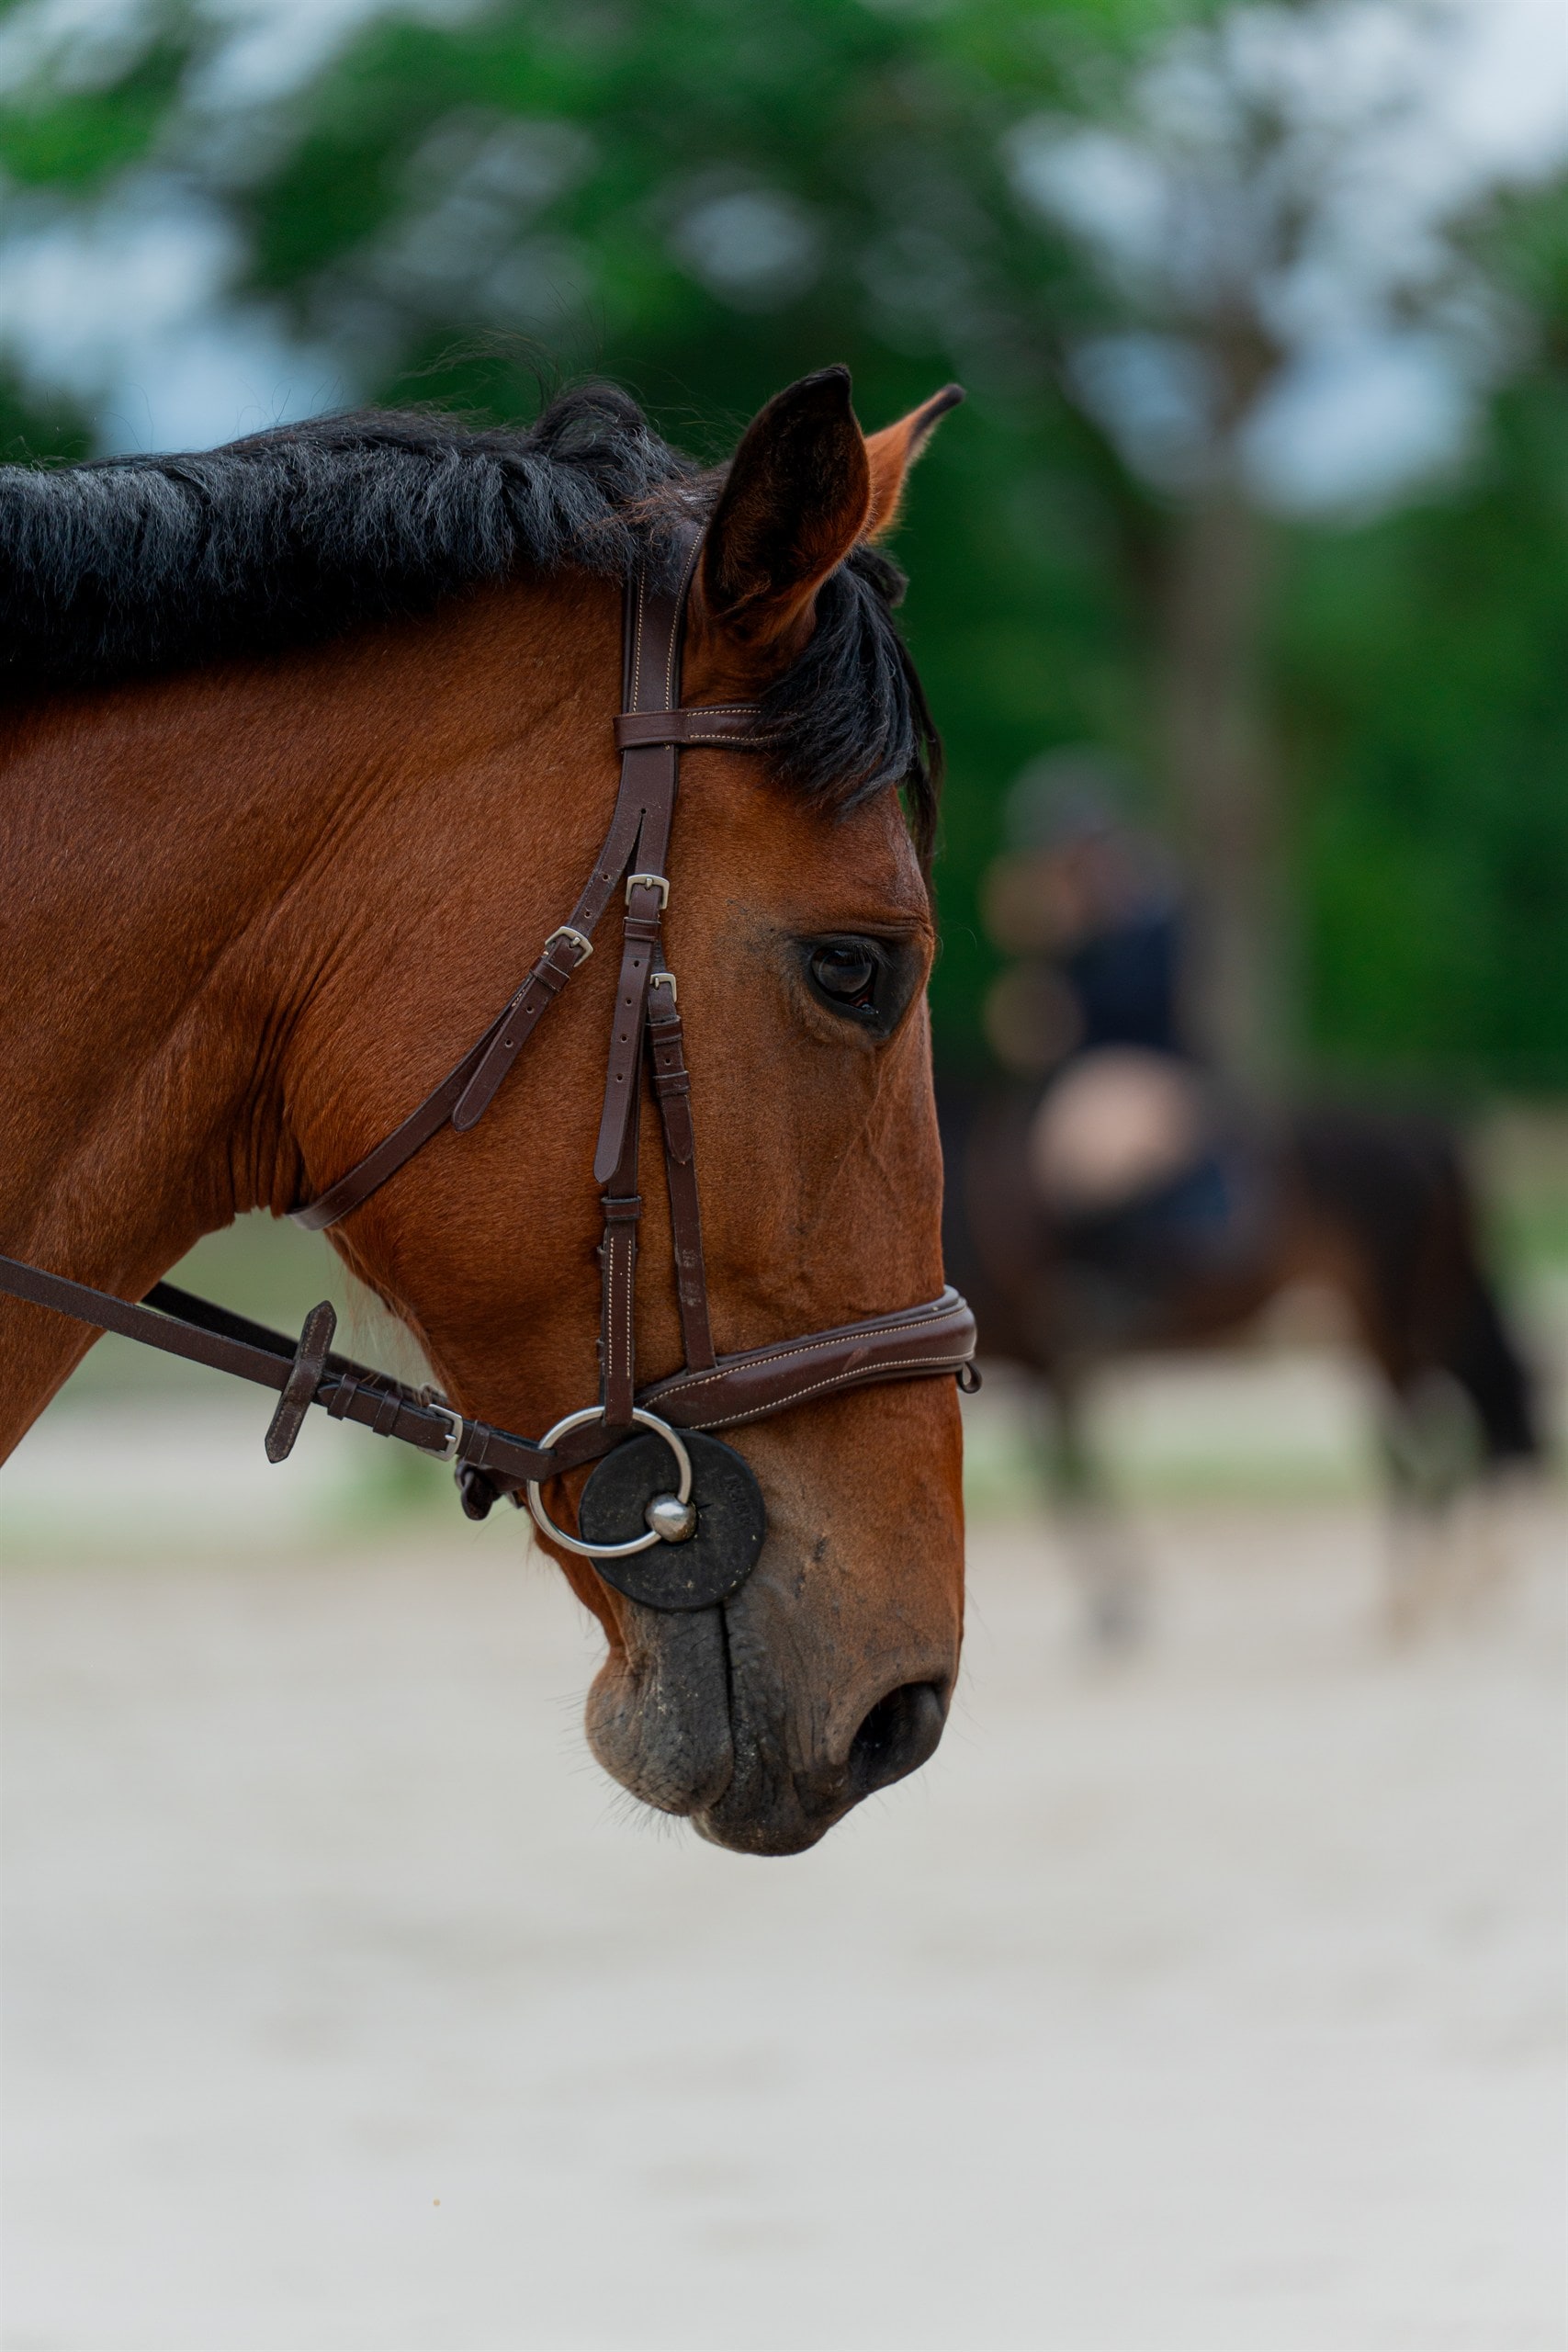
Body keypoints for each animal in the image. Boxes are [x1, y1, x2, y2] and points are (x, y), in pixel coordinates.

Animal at [942, 1071, 1541, 1638]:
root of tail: (1418, 1136)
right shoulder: (1059, 1364)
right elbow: (1070, 1470)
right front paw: (1116, 1600)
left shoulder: (1049, 1362)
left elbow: (1068, 1475)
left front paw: (1116, 1604)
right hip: (1411, 1311)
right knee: (1457, 1411)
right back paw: (1457, 1575)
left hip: (1390, 1315)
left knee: (1425, 1429)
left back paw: (1419, 1589)